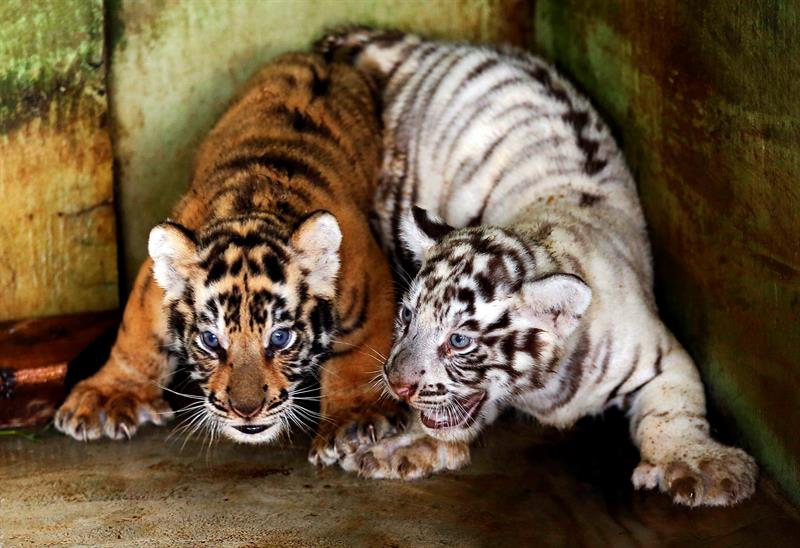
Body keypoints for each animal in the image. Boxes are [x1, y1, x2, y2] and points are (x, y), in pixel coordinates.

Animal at [55, 51, 402, 465]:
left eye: (280, 338)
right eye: (210, 341)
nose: (246, 410)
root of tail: (324, 57)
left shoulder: (368, 277)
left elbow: (361, 350)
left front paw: (357, 421)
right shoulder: (152, 289)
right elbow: (136, 335)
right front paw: (108, 396)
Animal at [317, 29, 758, 506]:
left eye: (459, 341)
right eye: (405, 316)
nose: (397, 385)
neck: (542, 387)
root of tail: (419, 44)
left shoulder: (662, 356)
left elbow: (675, 413)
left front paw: (703, 466)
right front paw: (403, 445)